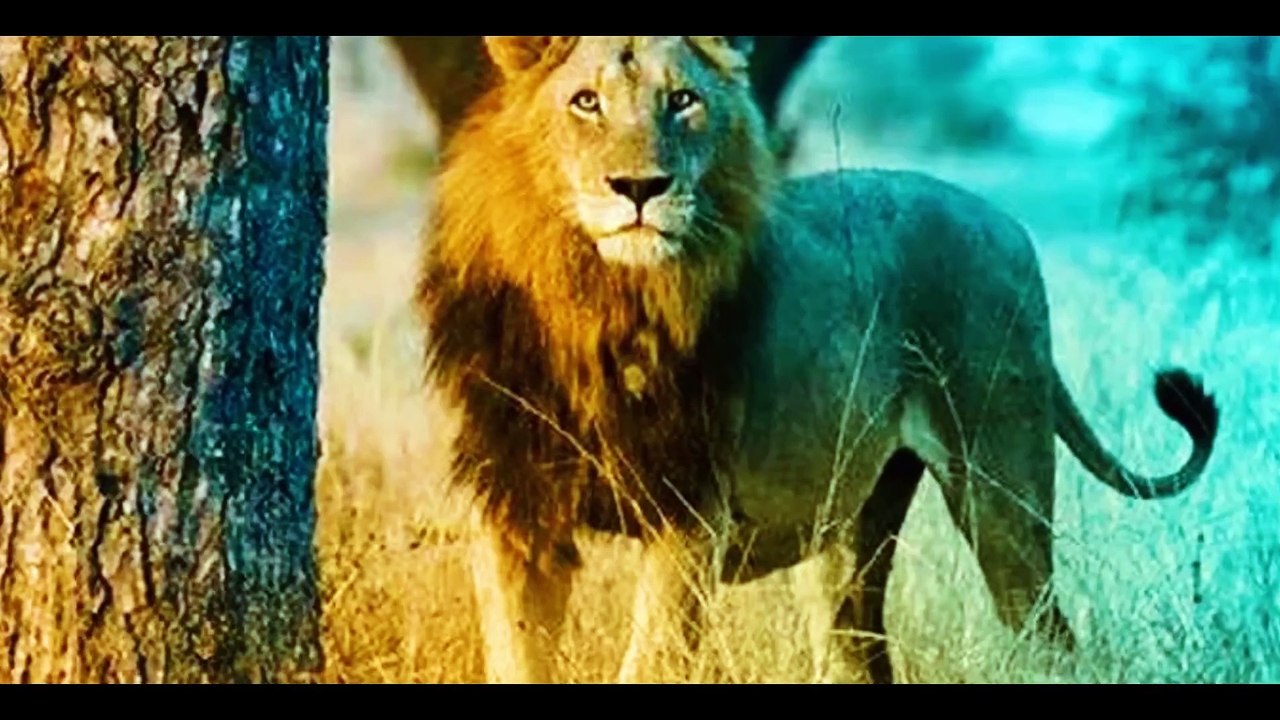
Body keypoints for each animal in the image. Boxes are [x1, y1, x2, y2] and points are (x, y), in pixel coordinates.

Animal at [415, 36, 1220, 684]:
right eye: (586, 102)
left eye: (683, 102)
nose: (641, 189)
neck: (598, 303)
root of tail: (1006, 221)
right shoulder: (514, 513)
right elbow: (515, 657)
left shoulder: (687, 517)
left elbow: (649, 662)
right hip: (848, 527)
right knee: (857, 656)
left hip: (1001, 487)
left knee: (1049, 633)